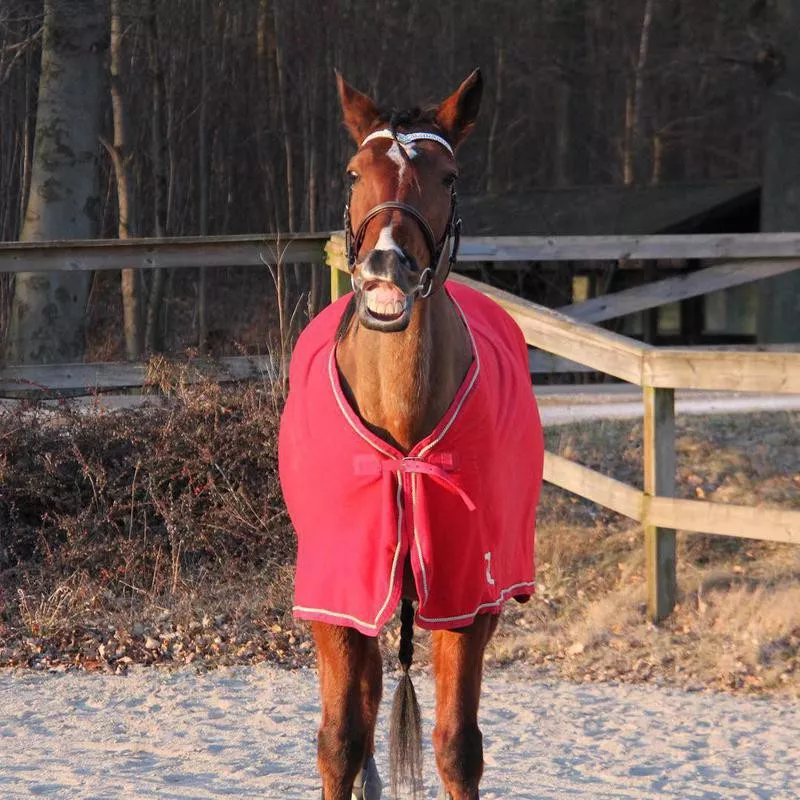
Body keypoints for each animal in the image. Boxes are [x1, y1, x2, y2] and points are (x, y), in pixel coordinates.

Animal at [278, 70, 548, 800]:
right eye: (353, 172)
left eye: (448, 177)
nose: (387, 266)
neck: (402, 430)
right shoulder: (340, 596)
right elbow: (340, 741)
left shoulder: (469, 597)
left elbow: (458, 746)